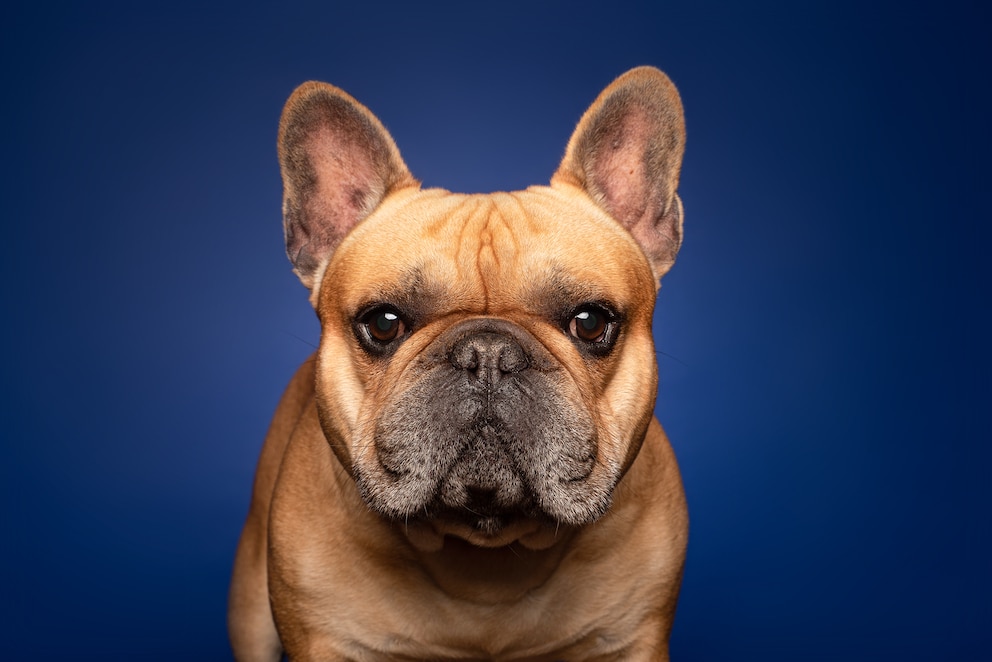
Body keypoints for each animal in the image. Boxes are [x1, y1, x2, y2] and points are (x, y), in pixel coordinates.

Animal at [229, 65, 684, 660]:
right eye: (383, 323)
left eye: (590, 322)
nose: (488, 353)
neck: (481, 550)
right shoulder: (327, 640)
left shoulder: (632, 640)